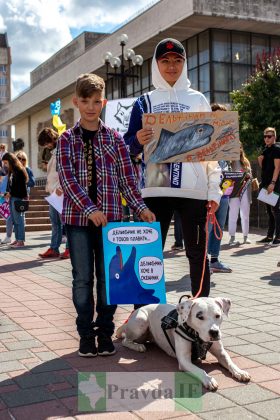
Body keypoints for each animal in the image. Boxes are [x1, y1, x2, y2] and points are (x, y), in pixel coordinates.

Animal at [115, 296, 250, 390]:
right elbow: (200, 370)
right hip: (141, 322)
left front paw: (239, 372)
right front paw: (209, 379)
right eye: (199, 316)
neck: (196, 336)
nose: (214, 332)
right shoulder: (184, 360)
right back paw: (137, 346)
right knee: (125, 340)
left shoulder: (221, 353)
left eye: (218, 315)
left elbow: (229, 361)